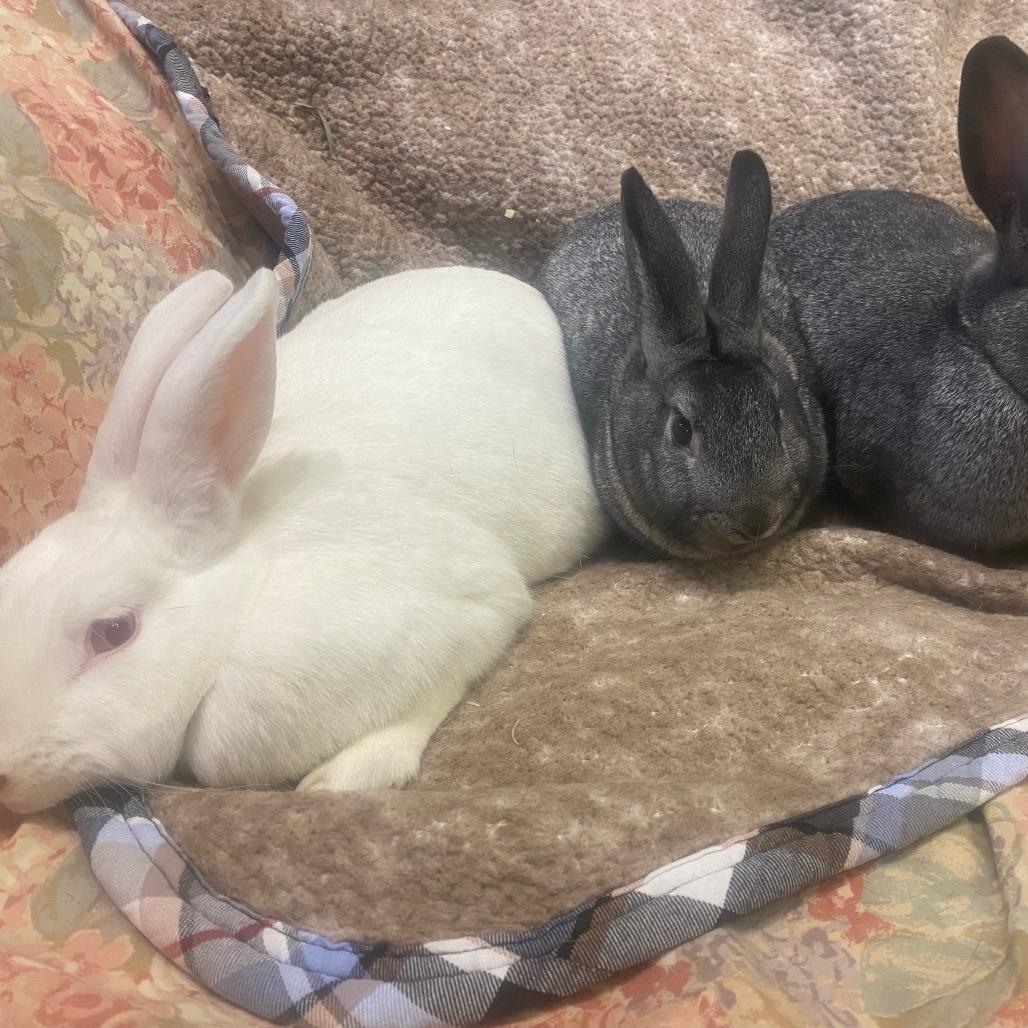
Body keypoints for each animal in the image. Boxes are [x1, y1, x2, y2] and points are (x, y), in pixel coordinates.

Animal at [0, 266, 605, 813]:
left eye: (113, 631)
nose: (3, 776)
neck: (248, 587)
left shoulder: (467, 607)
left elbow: (451, 670)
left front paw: (343, 778)